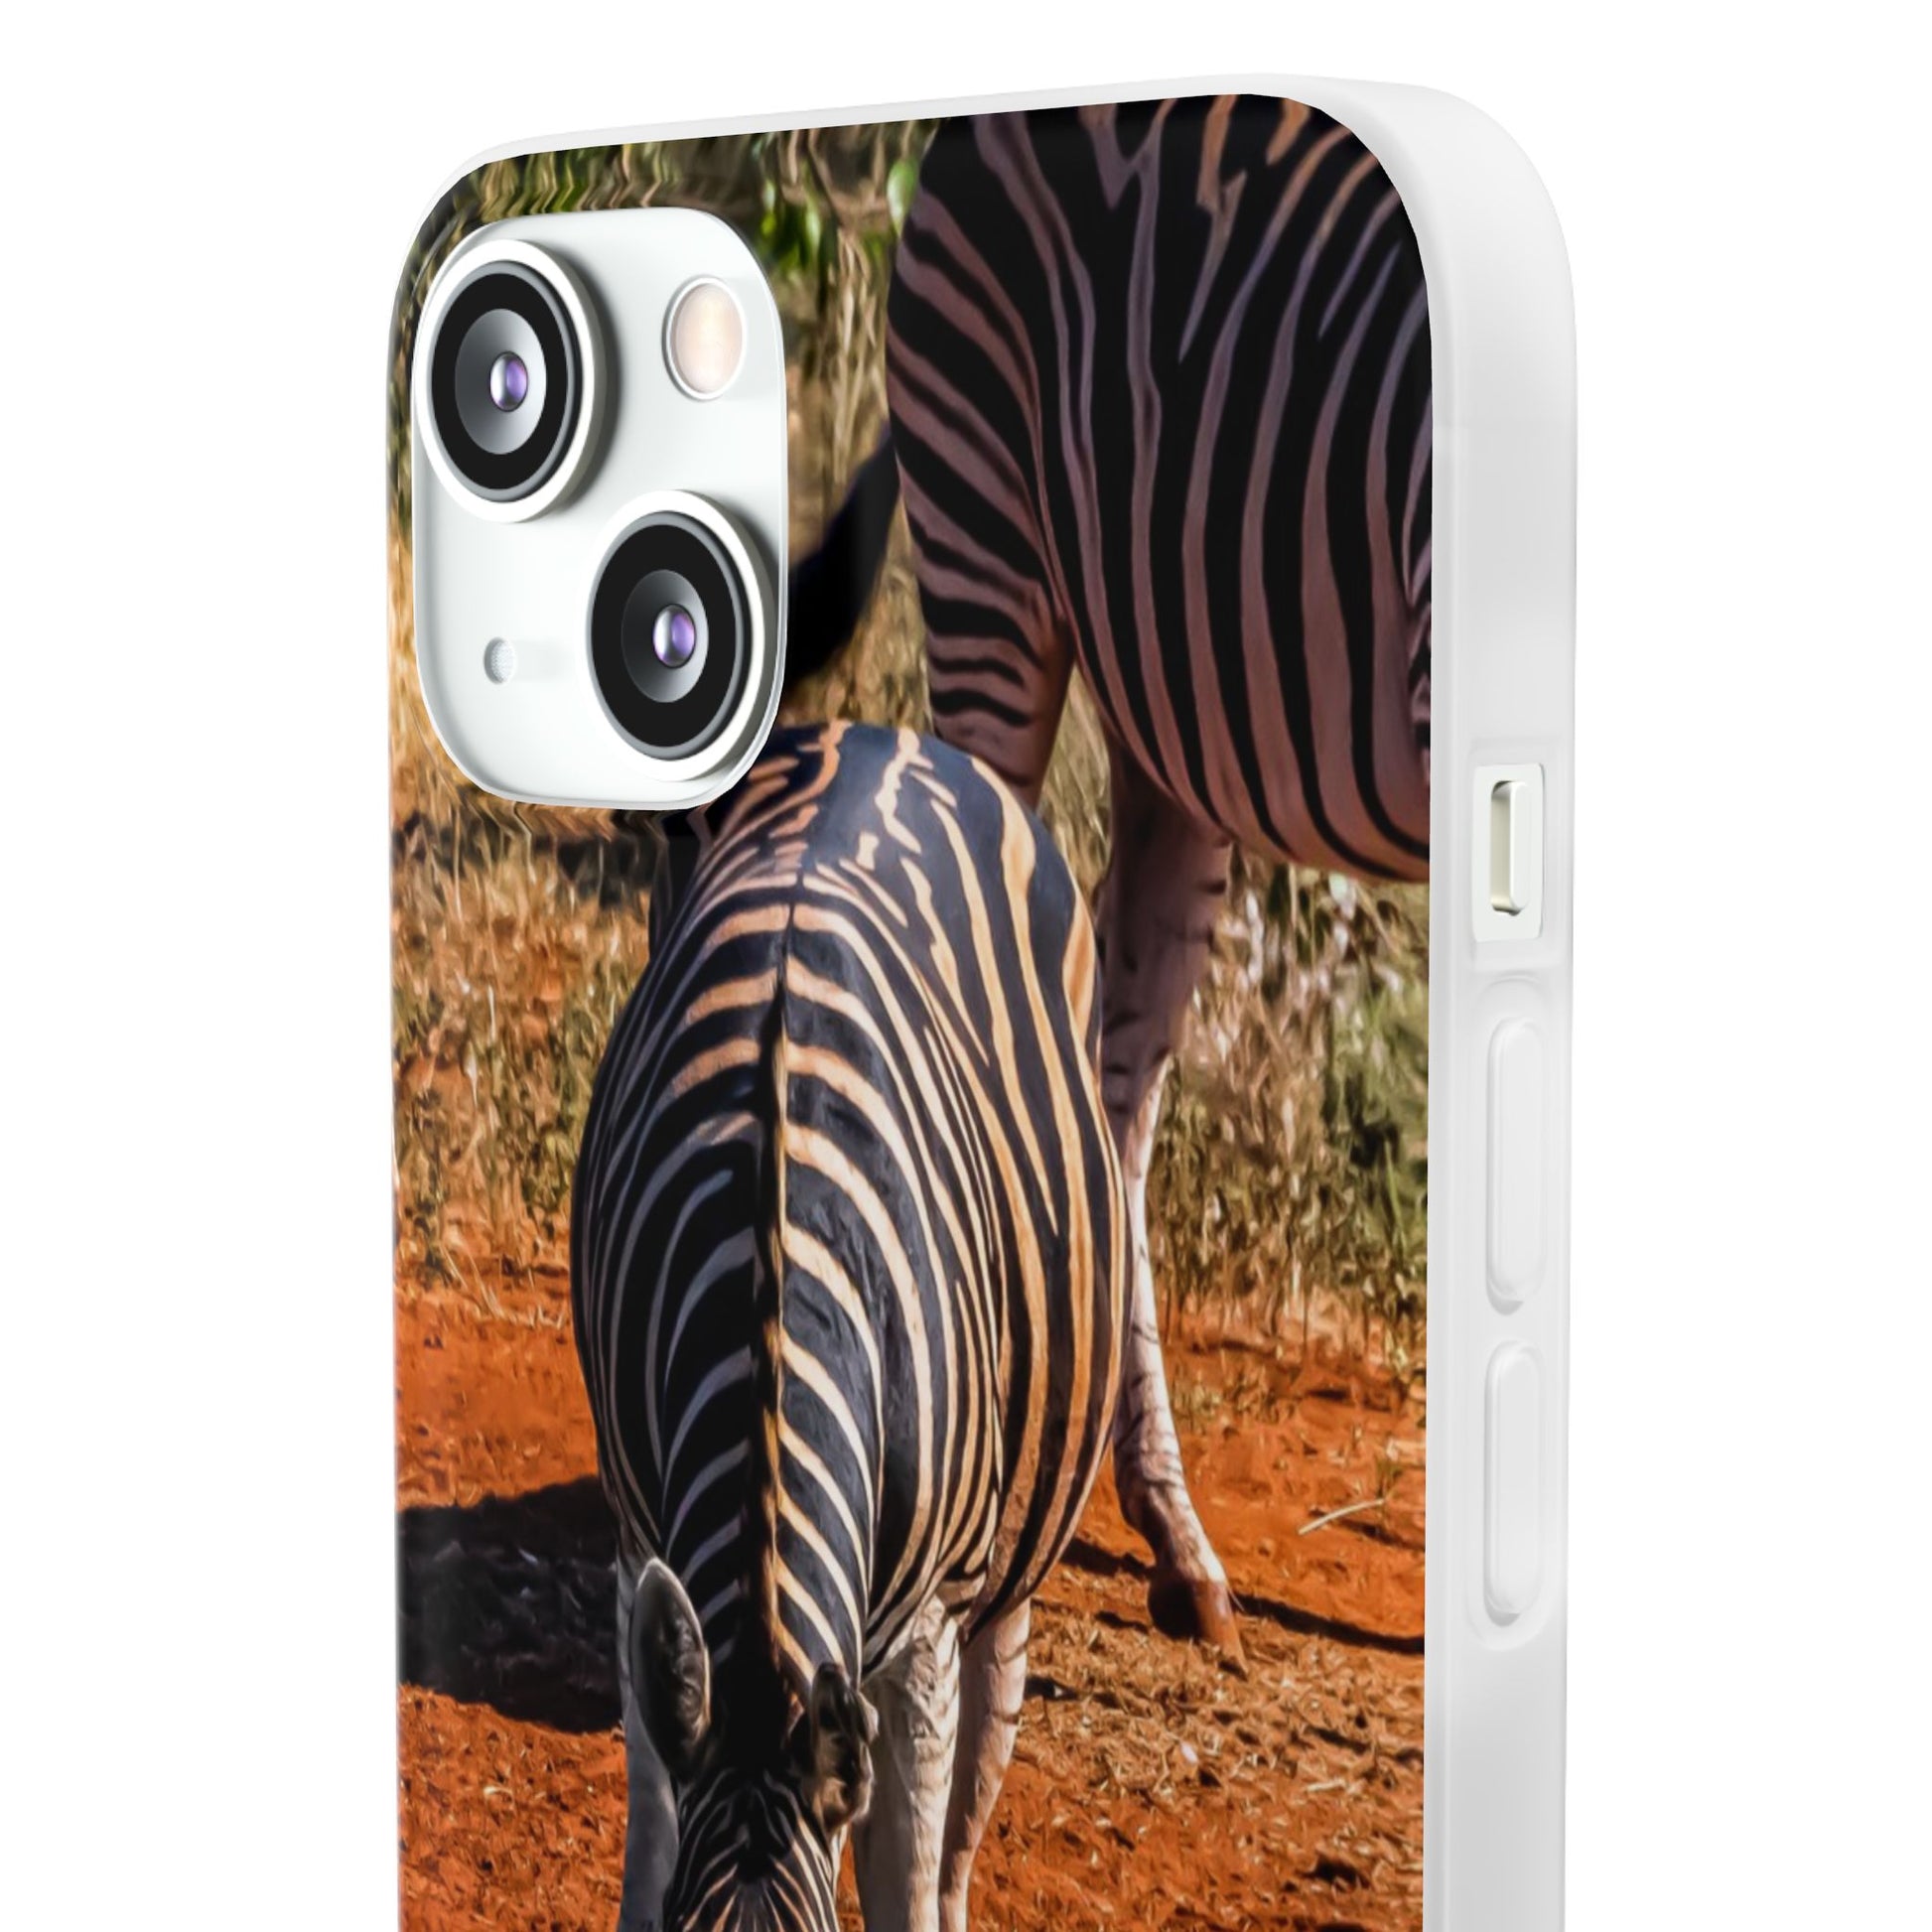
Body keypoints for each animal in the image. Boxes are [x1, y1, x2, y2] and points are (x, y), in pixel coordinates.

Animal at [571, 720, 1128, 1932]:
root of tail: (881, 731)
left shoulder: (919, 1639)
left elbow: (903, 1886)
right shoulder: (638, 1546)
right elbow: (649, 1845)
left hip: (1000, 1574)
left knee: (965, 1802)